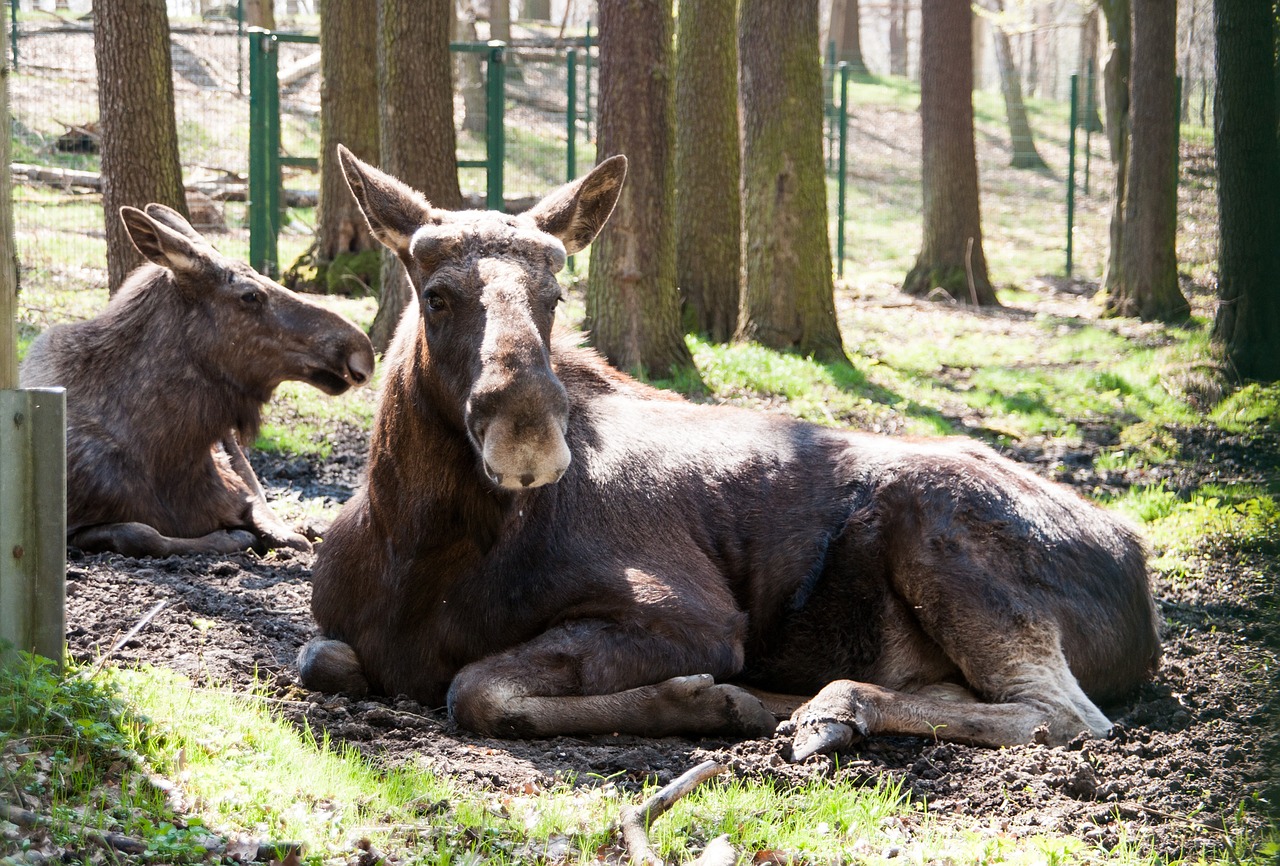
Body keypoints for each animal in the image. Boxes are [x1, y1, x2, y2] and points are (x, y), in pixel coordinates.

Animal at [20, 204, 373, 555]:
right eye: (250, 295)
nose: (361, 349)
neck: (167, 452)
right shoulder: (71, 526)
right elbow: (142, 533)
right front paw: (229, 537)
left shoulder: (237, 487)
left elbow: (278, 526)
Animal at [299, 148, 1162, 757]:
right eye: (437, 295)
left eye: (554, 297)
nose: (528, 433)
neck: (415, 541)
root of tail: (1139, 567)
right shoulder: (337, 633)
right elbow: (322, 658)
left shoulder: (694, 616)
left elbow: (475, 687)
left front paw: (703, 699)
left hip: (940, 533)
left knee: (1064, 715)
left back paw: (828, 709)